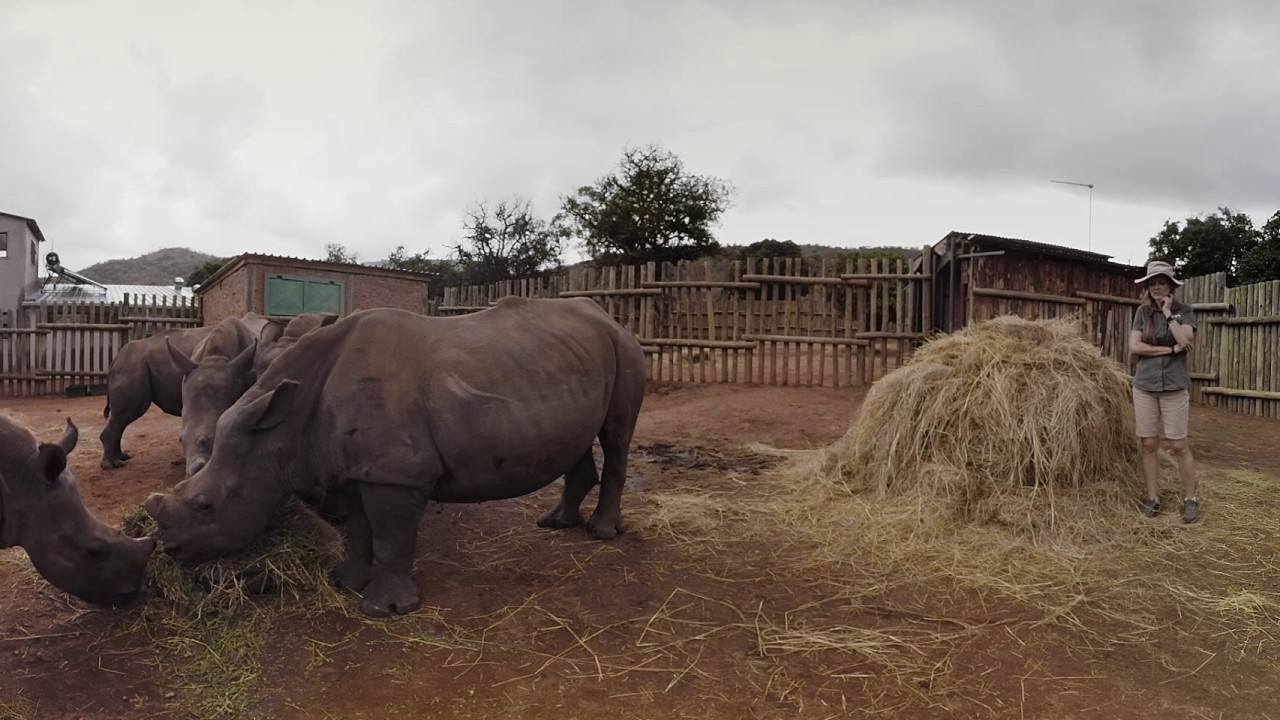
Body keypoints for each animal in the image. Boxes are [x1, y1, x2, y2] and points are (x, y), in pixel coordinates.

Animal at [145, 297, 646, 617]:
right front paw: (345, 582)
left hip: (626, 348)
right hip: (571, 358)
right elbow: (359, 530)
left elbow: (390, 534)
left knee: (617, 435)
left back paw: (601, 533)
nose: (173, 550)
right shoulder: (351, 467)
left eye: (206, 505)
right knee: (579, 438)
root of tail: (610, 316)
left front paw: (384, 608)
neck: (280, 433)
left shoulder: (395, 471)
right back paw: (556, 523)